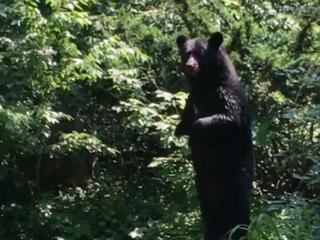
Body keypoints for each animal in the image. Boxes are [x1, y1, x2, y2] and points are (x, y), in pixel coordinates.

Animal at [175, 31, 252, 240]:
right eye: (186, 53)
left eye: (201, 53)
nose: (190, 66)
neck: (206, 83)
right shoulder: (193, 97)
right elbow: (185, 121)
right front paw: (180, 130)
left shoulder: (225, 94)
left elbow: (229, 117)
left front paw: (196, 130)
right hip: (203, 185)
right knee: (209, 210)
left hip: (234, 178)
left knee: (236, 208)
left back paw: (237, 231)